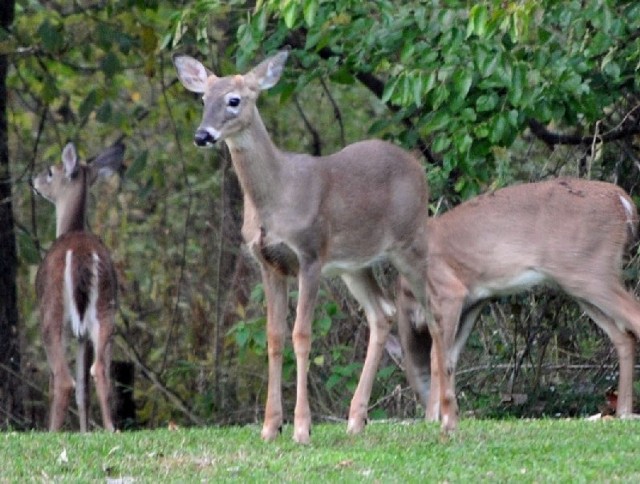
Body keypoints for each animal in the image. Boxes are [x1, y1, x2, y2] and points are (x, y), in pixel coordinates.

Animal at [34, 140, 125, 432]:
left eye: (50, 172)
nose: (33, 181)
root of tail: (82, 256)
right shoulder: (82, 335)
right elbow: (83, 391)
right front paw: (85, 433)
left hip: (53, 312)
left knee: (63, 380)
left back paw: (52, 432)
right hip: (106, 308)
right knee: (100, 370)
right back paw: (111, 429)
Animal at [170, 52, 456, 442]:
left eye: (234, 100)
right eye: (203, 99)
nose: (203, 135)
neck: (277, 197)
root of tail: (418, 166)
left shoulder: (310, 255)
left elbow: (301, 335)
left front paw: (302, 427)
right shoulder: (268, 263)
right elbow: (274, 337)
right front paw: (270, 426)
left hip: (410, 243)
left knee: (433, 310)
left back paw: (441, 415)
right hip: (355, 264)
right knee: (383, 313)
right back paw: (356, 419)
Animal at [396, 177, 640, 420]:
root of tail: (622, 201)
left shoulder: (450, 292)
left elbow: (436, 357)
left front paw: (431, 418)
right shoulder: (474, 301)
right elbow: (449, 358)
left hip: (590, 271)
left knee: (634, 317)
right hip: (579, 283)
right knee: (623, 336)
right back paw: (623, 411)